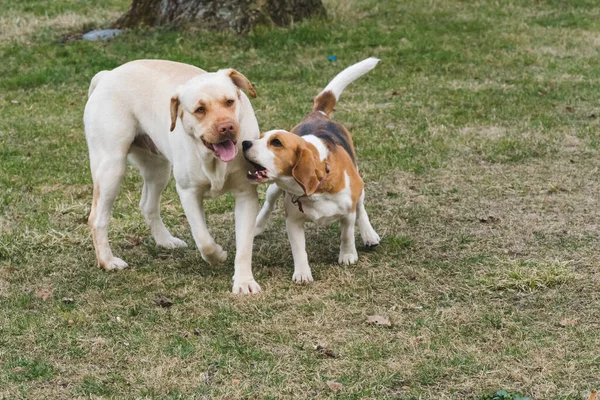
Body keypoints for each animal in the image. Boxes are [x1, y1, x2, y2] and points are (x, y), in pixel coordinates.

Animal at [83, 60, 262, 294]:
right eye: (200, 110)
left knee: (147, 205)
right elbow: (203, 238)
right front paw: (217, 255)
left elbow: (244, 246)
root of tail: (106, 75)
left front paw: (244, 282)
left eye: (230, 101)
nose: (227, 127)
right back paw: (108, 261)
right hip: (111, 168)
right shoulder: (188, 192)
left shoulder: (246, 194)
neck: (213, 160)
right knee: (97, 218)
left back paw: (165, 241)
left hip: (159, 168)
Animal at [243, 57, 380, 282]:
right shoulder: (293, 221)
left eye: (276, 142)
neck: (317, 188)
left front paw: (348, 255)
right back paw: (257, 225)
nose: (244, 143)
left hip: (359, 184)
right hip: (273, 189)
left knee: (361, 208)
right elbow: (299, 249)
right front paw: (302, 273)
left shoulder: (347, 211)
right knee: (268, 204)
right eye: (260, 137)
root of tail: (319, 114)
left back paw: (369, 234)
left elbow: (347, 234)